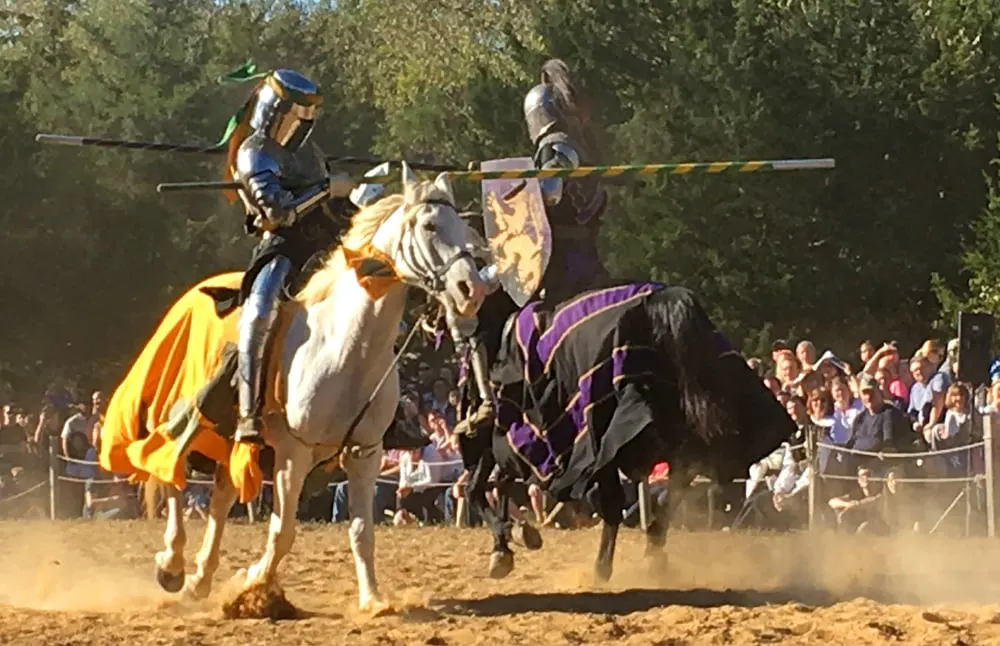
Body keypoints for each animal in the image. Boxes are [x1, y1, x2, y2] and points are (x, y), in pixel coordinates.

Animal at [121, 165, 484, 616]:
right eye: (430, 225)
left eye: (462, 226)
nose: (471, 290)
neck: (343, 344)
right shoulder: (293, 453)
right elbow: (283, 531)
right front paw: (254, 586)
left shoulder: (364, 454)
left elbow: (362, 531)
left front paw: (373, 600)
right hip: (184, 416)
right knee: (170, 473)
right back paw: (171, 565)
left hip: (232, 442)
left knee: (219, 498)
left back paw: (199, 579)